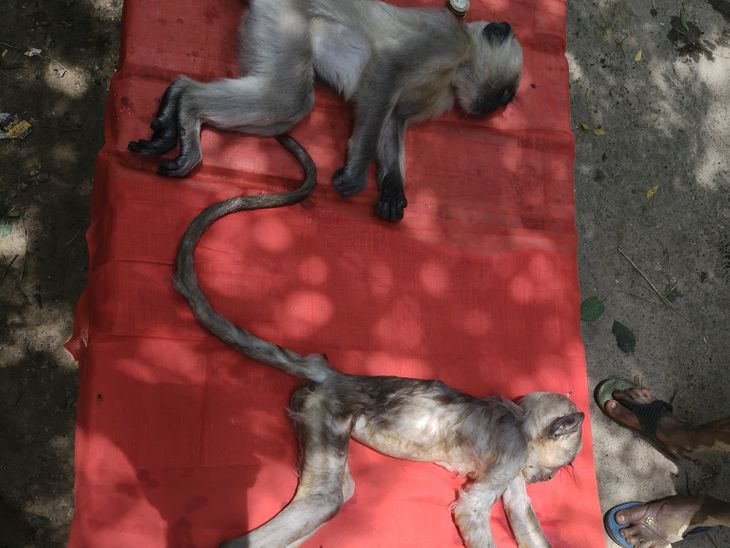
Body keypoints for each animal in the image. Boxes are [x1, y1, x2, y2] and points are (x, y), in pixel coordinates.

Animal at [129, 0, 524, 222]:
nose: (494, 109)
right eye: (504, 94)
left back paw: (176, 103)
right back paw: (188, 107)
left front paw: (391, 188)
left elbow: (392, 119)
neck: (456, 69)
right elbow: (388, 67)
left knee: (283, 102)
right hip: (283, 19)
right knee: (290, 98)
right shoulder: (443, 38)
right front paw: (354, 176)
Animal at [172, 135, 585, 548]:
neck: (518, 419)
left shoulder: (514, 466)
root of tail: (336, 375)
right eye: (562, 465)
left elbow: (518, 512)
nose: (546, 478)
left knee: (339, 493)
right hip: (328, 410)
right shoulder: (514, 454)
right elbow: (472, 509)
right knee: (327, 498)